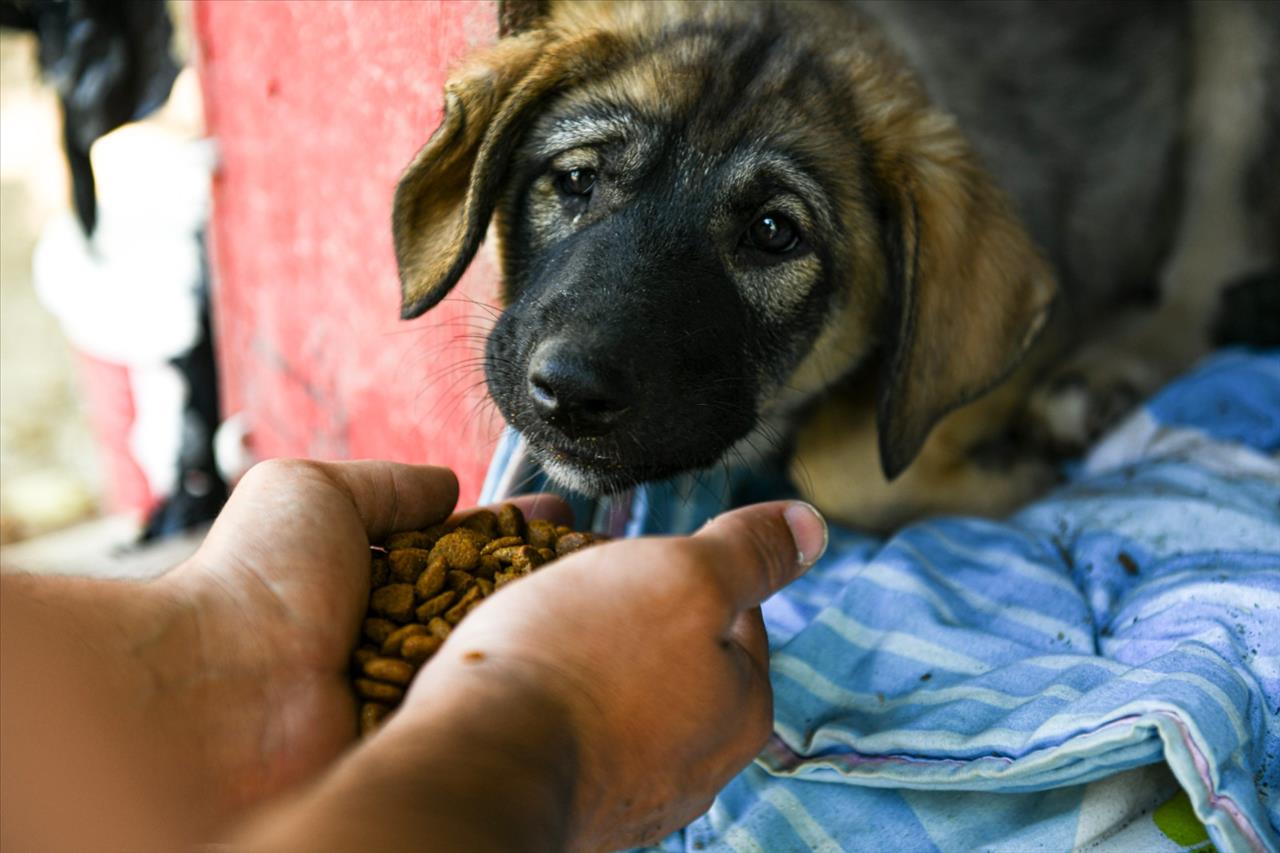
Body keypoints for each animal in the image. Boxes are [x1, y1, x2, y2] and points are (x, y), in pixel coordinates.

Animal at [391, 1, 1280, 532]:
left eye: (774, 233)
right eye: (576, 179)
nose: (569, 393)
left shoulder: (1058, 299)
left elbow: (845, 465)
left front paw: (1015, 473)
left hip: (1239, 66)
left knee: (1205, 271)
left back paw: (1104, 379)